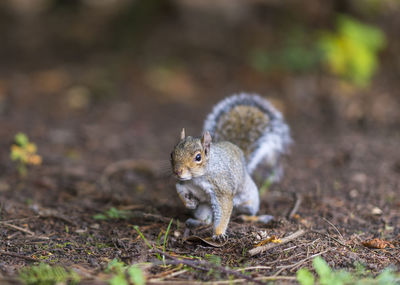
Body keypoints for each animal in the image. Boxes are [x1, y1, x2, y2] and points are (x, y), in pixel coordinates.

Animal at [169, 92, 290, 239]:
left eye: (198, 157)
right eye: (171, 154)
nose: (177, 171)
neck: (197, 178)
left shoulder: (222, 187)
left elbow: (224, 208)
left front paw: (219, 233)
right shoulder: (184, 183)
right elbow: (179, 189)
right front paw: (189, 202)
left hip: (249, 199)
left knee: (248, 212)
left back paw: (250, 217)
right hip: (205, 208)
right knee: (207, 219)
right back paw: (197, 221)